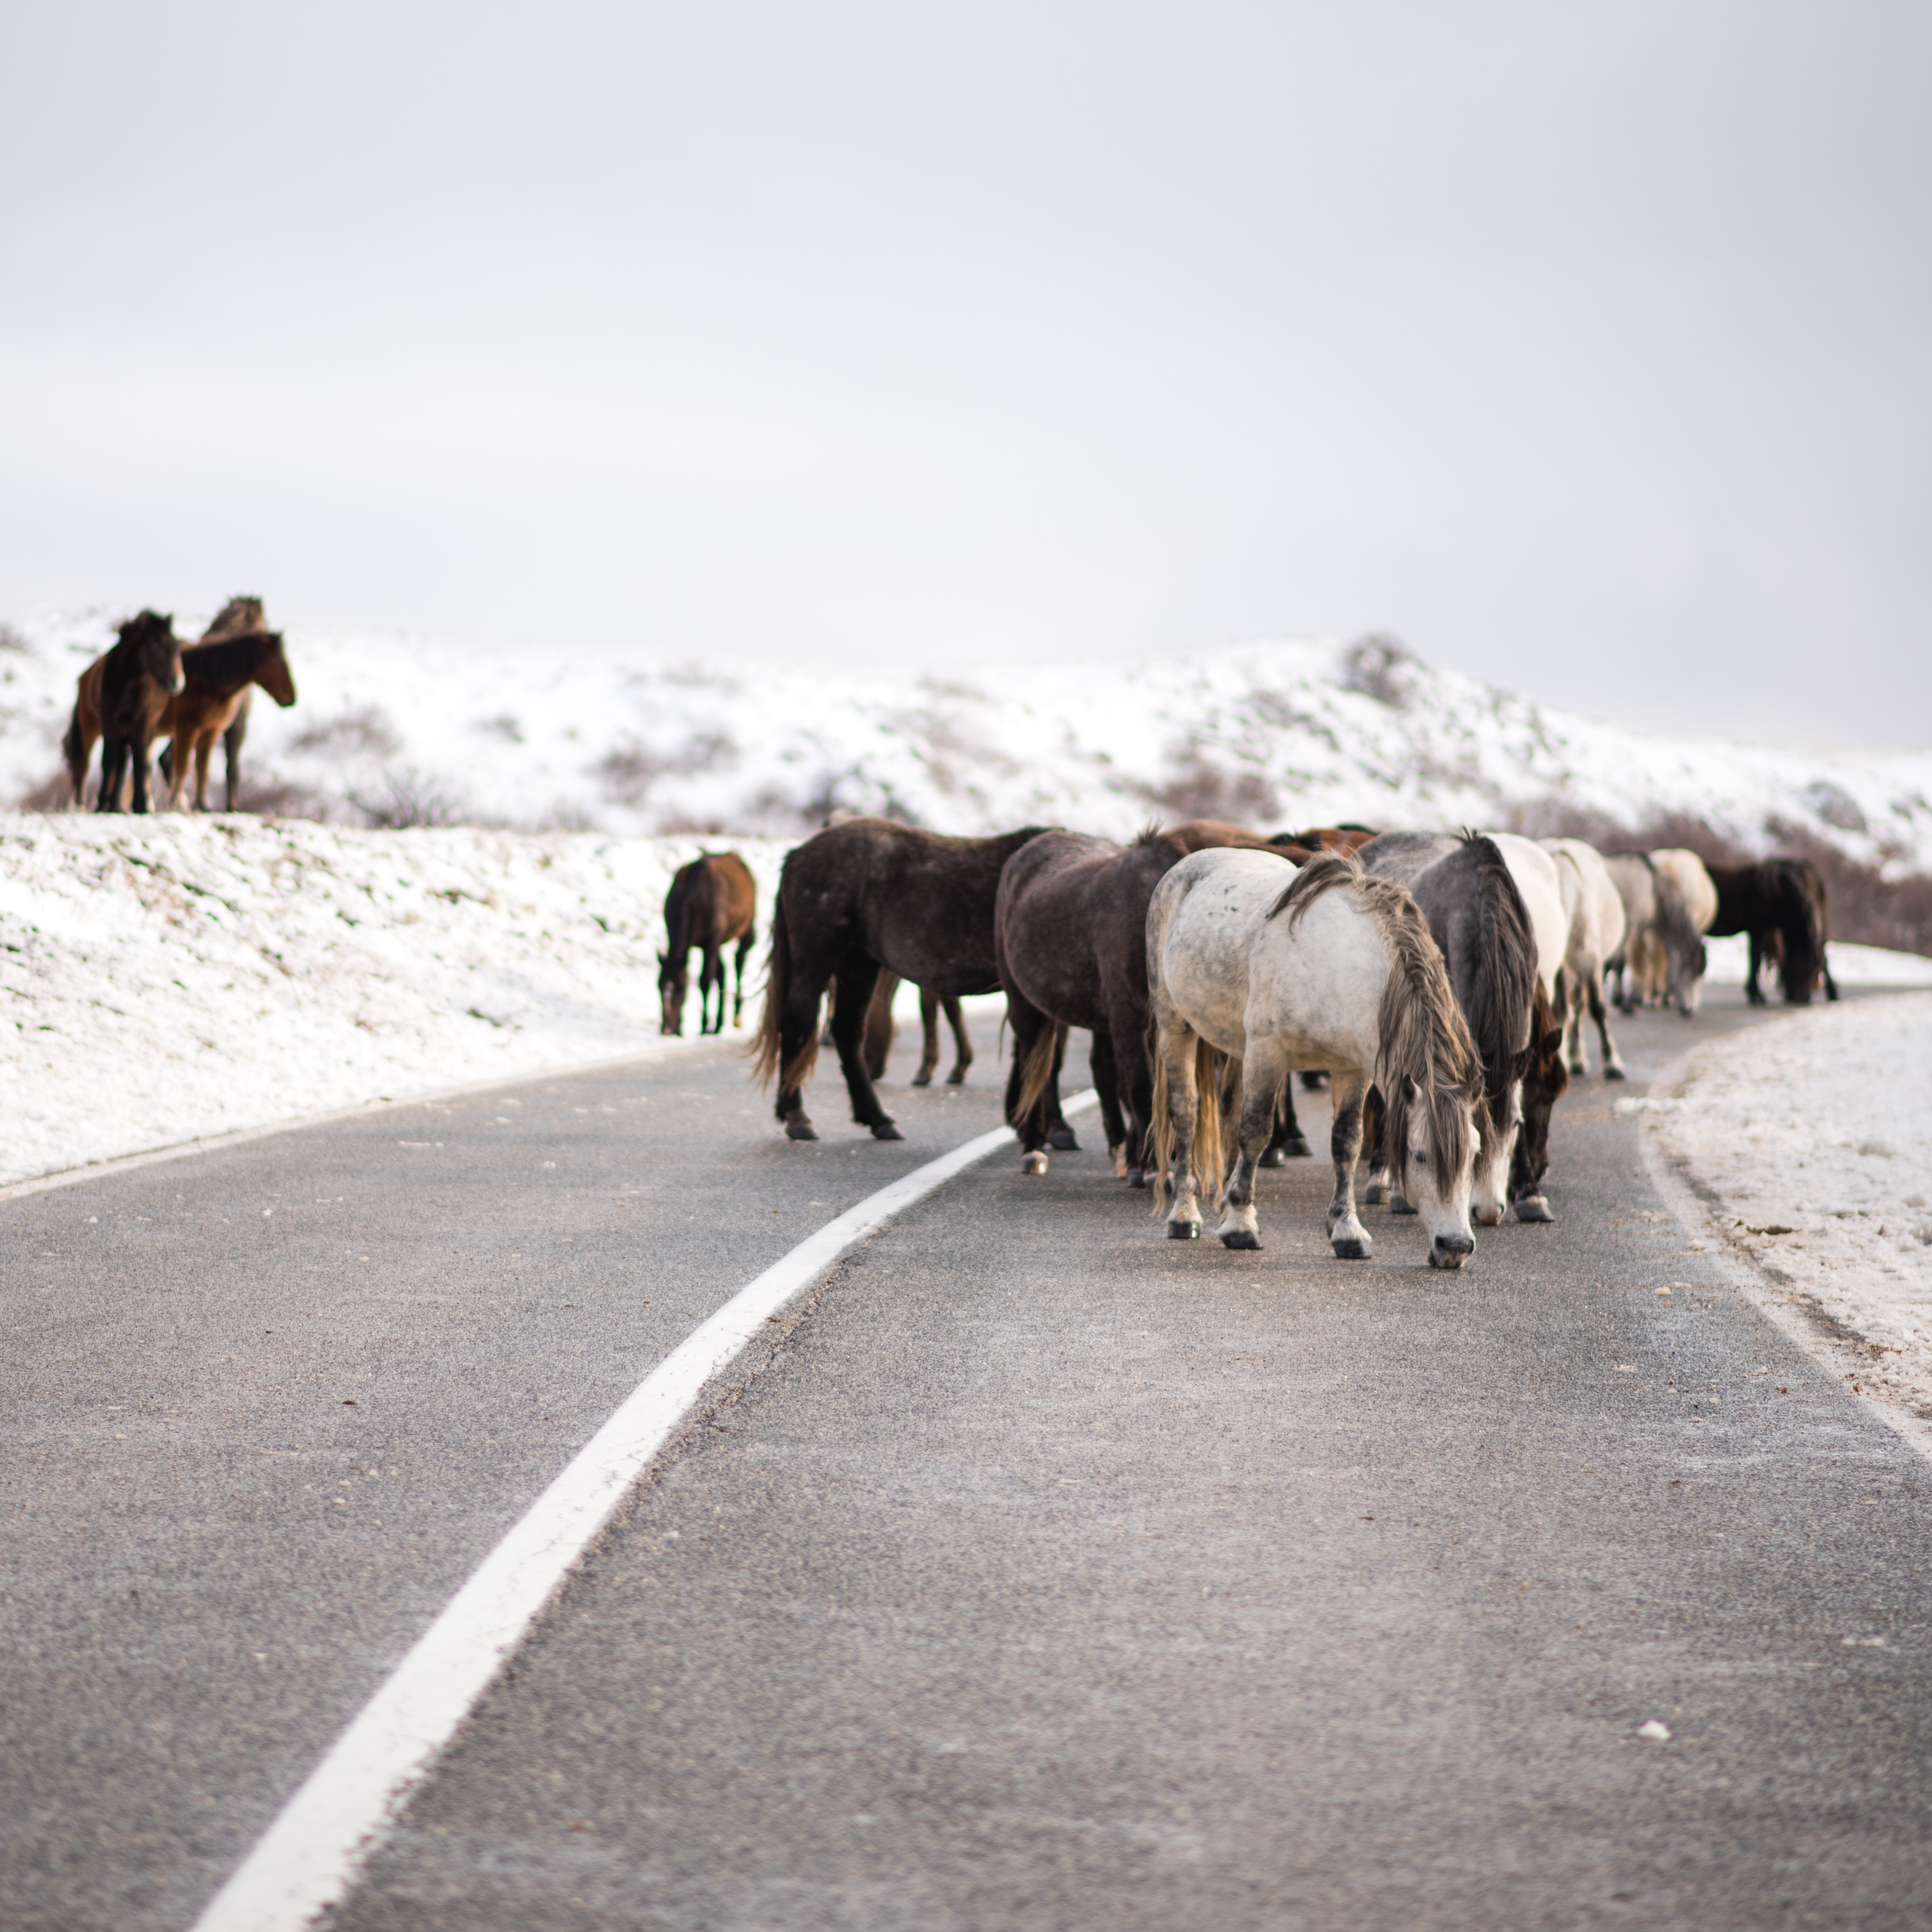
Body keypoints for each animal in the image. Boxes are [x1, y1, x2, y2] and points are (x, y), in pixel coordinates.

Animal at [158, 630, 295, 804]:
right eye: (278, 661)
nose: (292, 698)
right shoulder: (187, 728)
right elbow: (184, 767)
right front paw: (178, 802)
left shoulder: (210, 730)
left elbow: (203, 768)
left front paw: (201, 805)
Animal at [661, 854, 757, 1035]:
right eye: (659, 987)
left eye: (681, 989)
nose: (667, 1029)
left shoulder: (711, 941)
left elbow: (705, 981)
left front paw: (704, 1025)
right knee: (722, 972)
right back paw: (719, 1023)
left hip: (744, 931)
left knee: (739, 964)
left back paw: (735, 1017)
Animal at [753, 819, 1051, 1144]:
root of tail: (798, 855)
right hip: (818, 958)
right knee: (798, 1022)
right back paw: (797, 1116)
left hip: (858, 964)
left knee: (847, 1032)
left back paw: (877, 1119)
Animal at [1136, 850, 1483, 1267]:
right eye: (1418, 1155)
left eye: (1475, 1155)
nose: (1456, 1247)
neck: (1339, 965)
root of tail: (1183, 868)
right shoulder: (1267, 1053)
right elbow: (1256, 1131)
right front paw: (1241, 1225)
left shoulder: (1353, 1069)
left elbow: (1347, 1143)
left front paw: (1347, 1230)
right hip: (1176, 1026)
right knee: (1186, 1111)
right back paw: (1185, 1215)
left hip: (1237, 1046)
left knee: (1229, 1106)